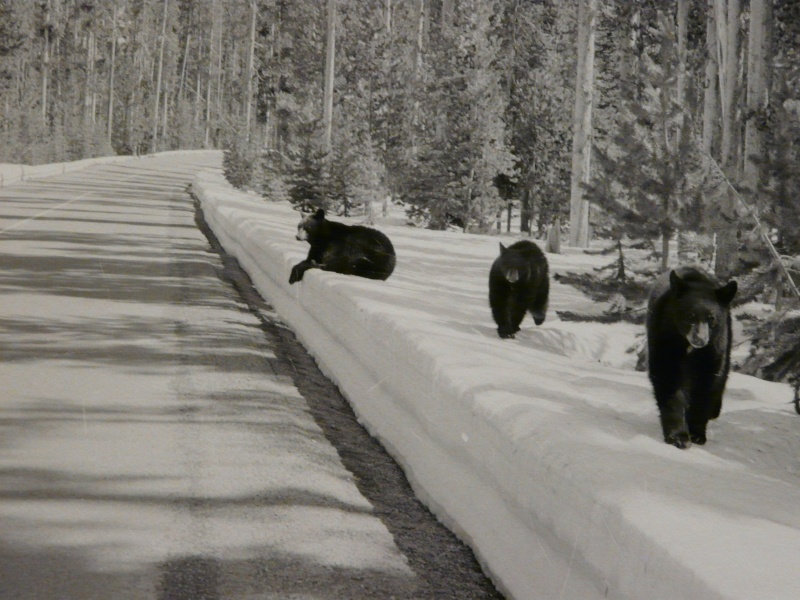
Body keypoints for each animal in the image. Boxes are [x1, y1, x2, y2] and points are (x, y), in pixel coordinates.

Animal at [644, 264, 736, 448]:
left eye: (711, 318)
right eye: (690, 315)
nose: (700, 339)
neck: (688, 347)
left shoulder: (713, 347)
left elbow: (705, 384)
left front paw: (697, 434)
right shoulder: (664, 337)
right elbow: (667, 378)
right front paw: (678, 436)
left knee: (722, 375)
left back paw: (714, 410)